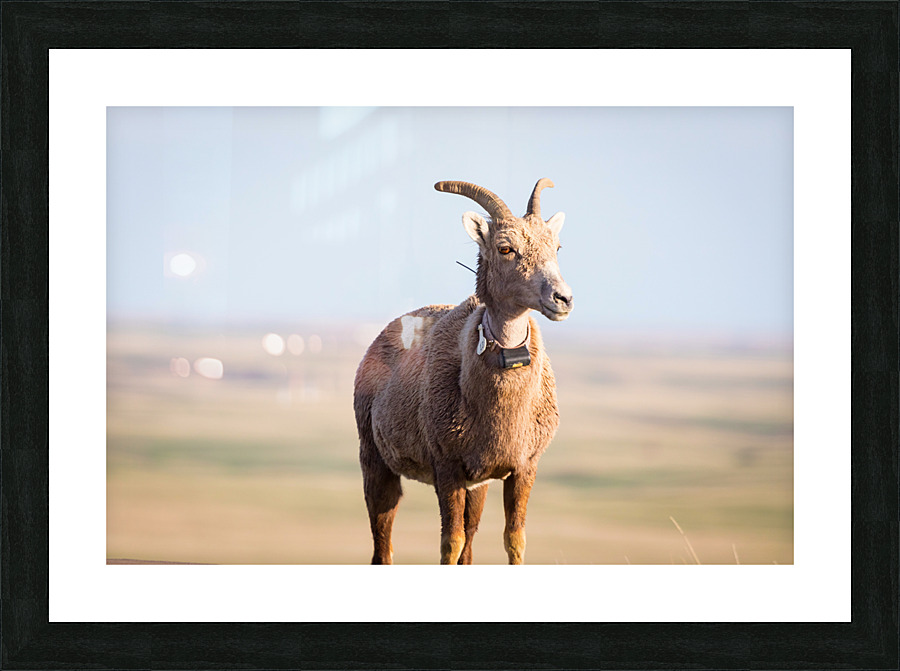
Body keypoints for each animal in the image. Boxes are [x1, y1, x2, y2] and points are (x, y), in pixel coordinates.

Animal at [353, 179, 573, 564]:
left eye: (556, 245)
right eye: (505, 248)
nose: (562, 299)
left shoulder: (522, 468)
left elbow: (513, 540)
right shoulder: (447, 468)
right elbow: (450, 543)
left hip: (477, 485)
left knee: (469, 545)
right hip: (375, 462)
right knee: (382, 545)